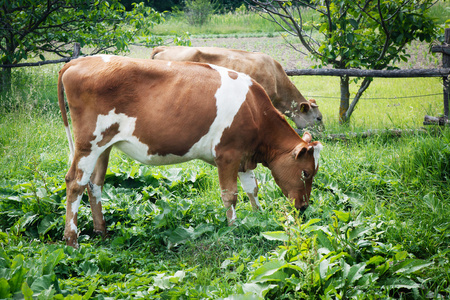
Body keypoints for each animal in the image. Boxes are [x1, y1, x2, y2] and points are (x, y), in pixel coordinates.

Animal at [57, 55, 324, 247]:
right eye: (306, 173)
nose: (303, 207)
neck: (254, 110)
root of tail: (77, 61)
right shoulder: (228, 154)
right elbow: (230, 195)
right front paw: (234, 227)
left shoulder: (244, 157)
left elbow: (252, 188)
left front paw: (258, 217)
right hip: (88, 144)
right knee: (75, 183)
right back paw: (72, 241)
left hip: (104, 146)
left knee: (95, 184)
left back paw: (101, 231)